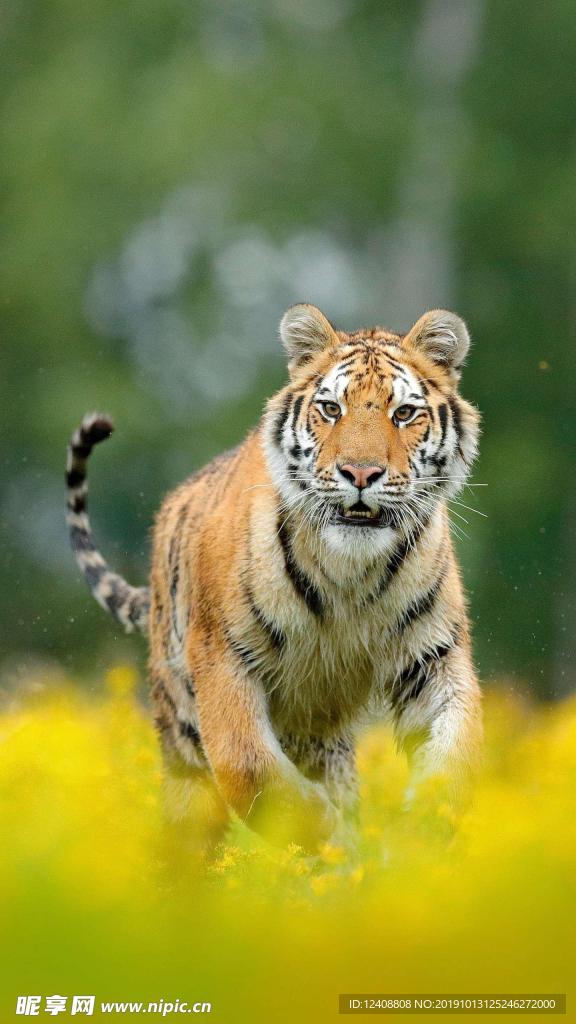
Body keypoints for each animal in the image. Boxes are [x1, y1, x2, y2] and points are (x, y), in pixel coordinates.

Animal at [66, 303, 482, 854]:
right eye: (330, 409)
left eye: (404, 414)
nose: (360, 473)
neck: (350, 571)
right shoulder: (221, 654)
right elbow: (247, 764)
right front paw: (317, 824)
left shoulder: (432, 656)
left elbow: (458, 746)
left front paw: (426, 826)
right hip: (183, 739)